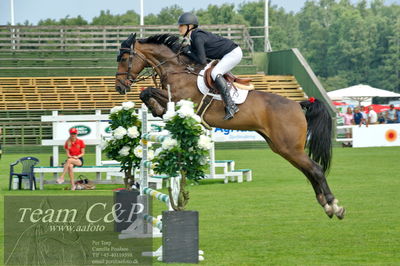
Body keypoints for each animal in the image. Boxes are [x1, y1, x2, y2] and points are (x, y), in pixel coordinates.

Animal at [114, 33, 346, 220]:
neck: (177, 70)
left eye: (124, 58)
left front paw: (157, 109)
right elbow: (147, 94)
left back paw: (334, 206)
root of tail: (298, 104)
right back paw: (326, 205)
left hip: (289, 147)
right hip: (282, 148)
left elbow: (148, 91)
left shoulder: (182, 99)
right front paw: (157, 110)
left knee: (315, 169)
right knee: (309, 170)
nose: (119, 87)